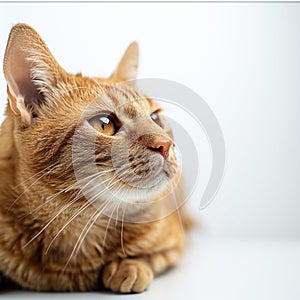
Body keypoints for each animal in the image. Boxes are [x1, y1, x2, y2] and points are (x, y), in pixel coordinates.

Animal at [0, 23, 192, 292]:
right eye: (105, 124)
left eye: (155, 118)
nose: (165, 145)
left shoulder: (174, 240)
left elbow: (150, 256)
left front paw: (128, 266)